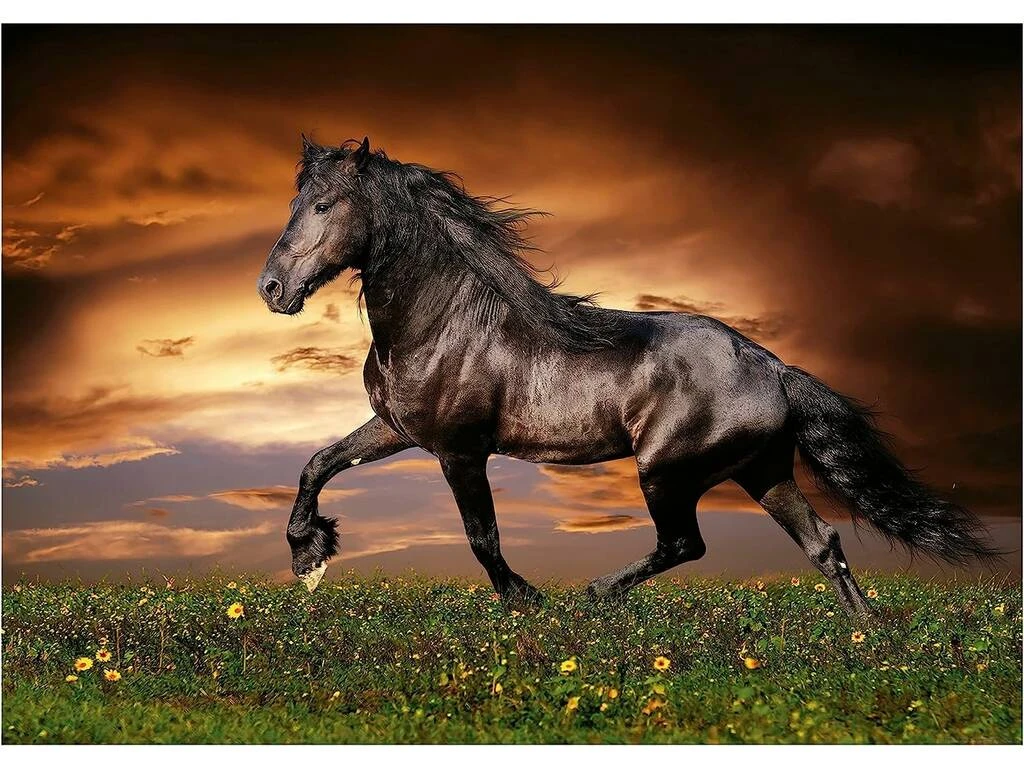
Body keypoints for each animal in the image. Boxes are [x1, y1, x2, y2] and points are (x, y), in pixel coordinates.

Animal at [257, 136, 996, 617]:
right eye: (296, 203)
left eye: (325, 205)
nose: (271, 289)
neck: (441, 321)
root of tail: (773, 368)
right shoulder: (397, 428)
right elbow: (317, 463)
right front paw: (308, 555)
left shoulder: (459, 449)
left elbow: (481, 536)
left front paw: (526, 600)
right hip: (763, 470)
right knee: (823, 542)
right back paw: (867, 640)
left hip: (667, 471)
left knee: (685, 543)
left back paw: (594, 595)